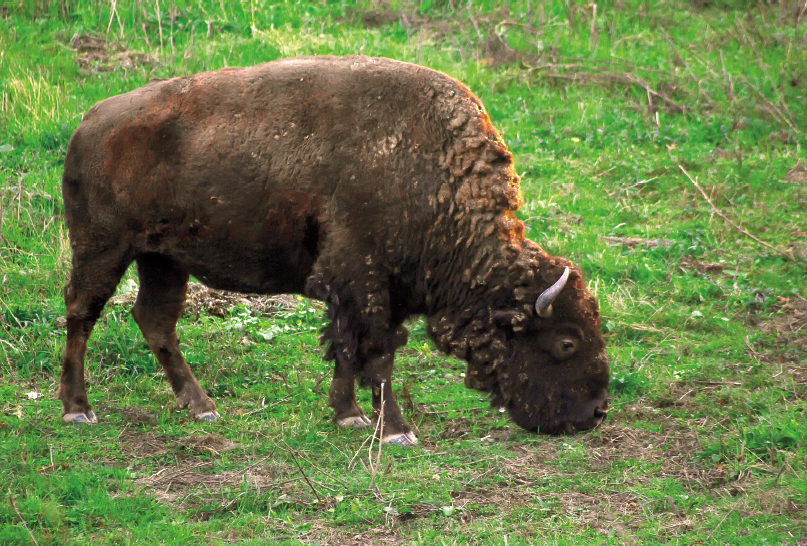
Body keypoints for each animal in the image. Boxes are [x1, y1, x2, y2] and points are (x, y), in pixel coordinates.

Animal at [60, 56, 608, 442]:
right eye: (566, 342)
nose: (595, 413)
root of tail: (89, 123)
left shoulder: (368, 289)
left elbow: (347, 348)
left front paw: (349, 417)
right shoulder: (364, 280)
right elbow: (376, 355)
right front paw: (396, 431)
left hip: (164, 260)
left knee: (154, 320)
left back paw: (202, 407)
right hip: (103, 250)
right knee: (81, 313)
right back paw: (78, 410)